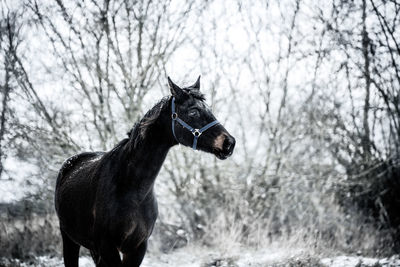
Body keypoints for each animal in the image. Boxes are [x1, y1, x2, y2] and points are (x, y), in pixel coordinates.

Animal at [53, 76, 234, 266]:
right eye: (193, 112)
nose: (229, 143)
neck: (131, 188)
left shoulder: (137, 247)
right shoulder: (108, 246)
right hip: (69, 239)